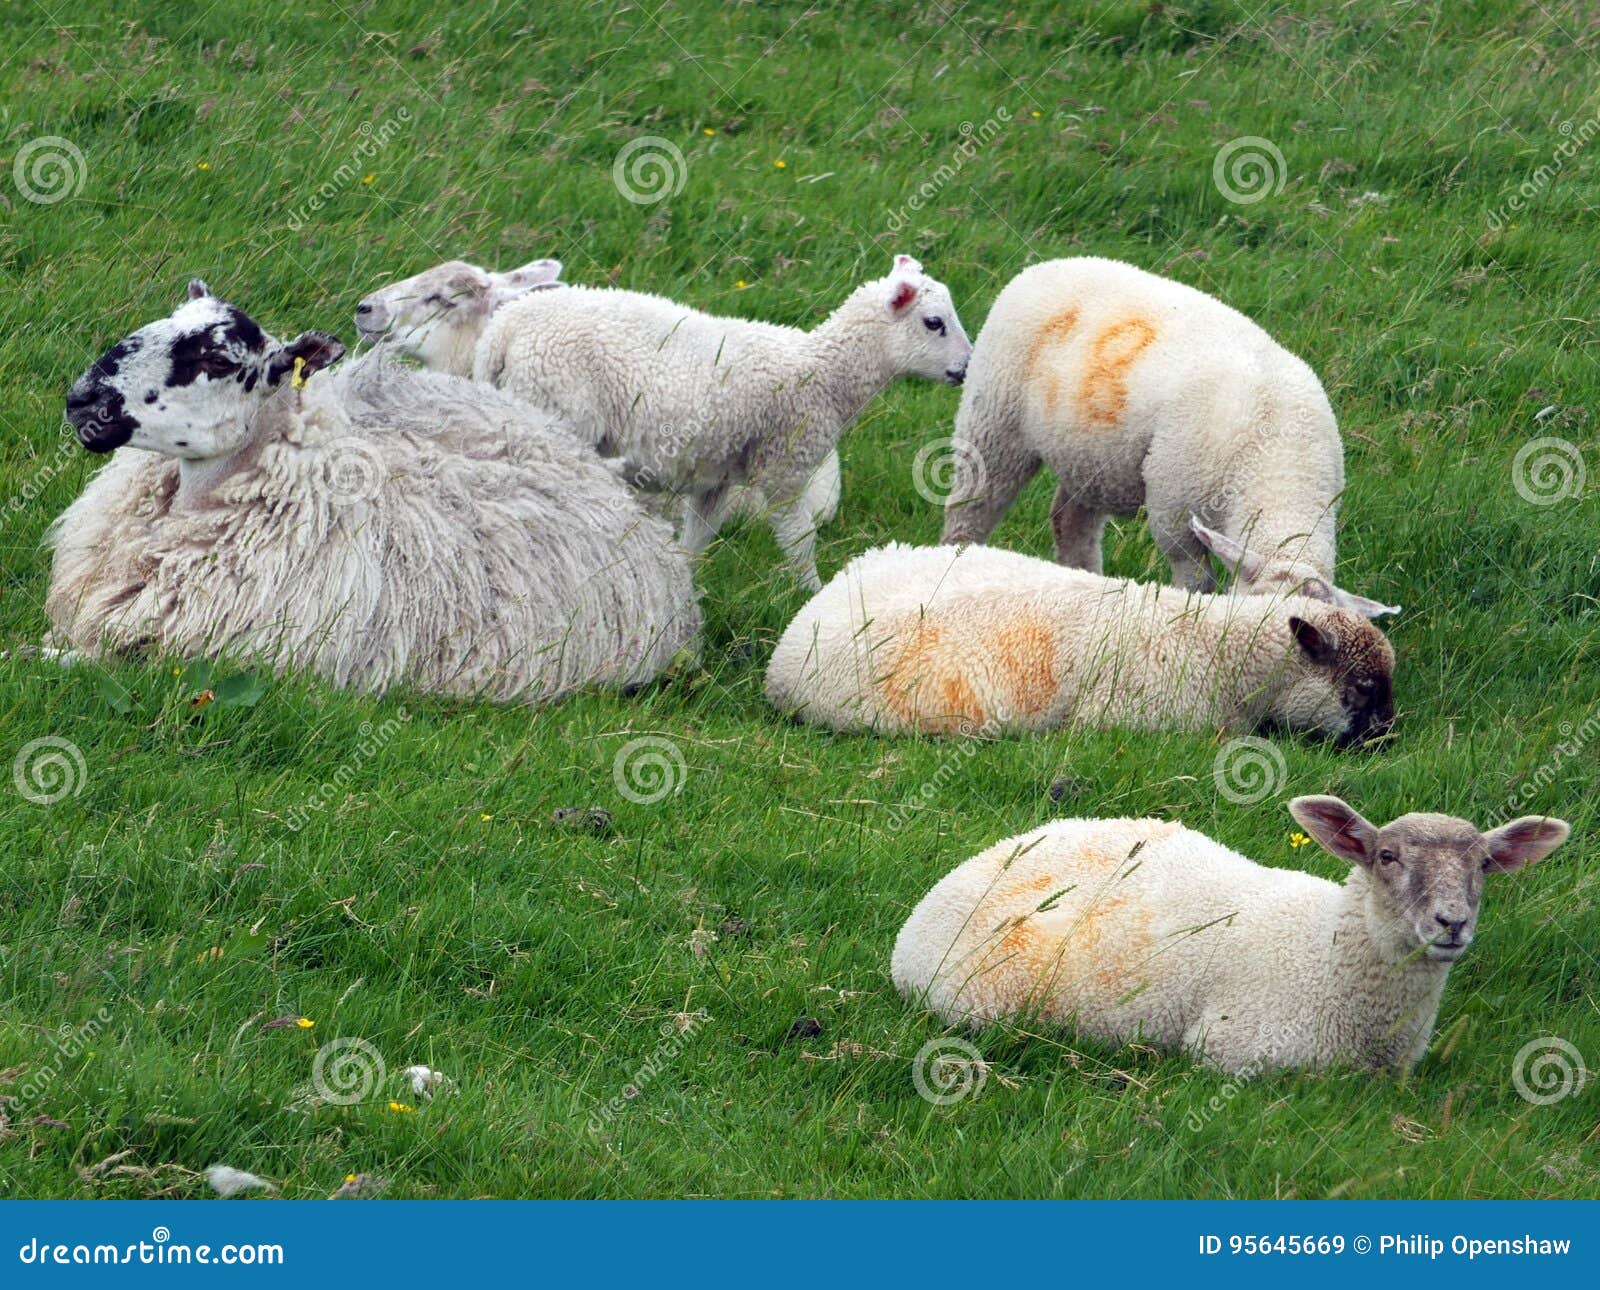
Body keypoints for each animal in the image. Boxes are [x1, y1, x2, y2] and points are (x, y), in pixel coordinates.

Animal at [472, 253, 972, 590]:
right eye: (934, 323)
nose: (965, 370)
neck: (825, 373)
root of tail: (502, 332)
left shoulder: (715, 477)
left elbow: (698, 538)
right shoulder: (782, 469)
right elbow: (799, 541)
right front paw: (811, 596)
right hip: (553, 411)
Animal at [939, 256, 1399, 617]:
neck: (1279, 466)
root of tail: (1045, 265)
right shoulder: (1175, 518)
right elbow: (1197, 584)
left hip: (1088, 456)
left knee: (1071, 523)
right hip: (993, 420)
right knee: (970, 511)